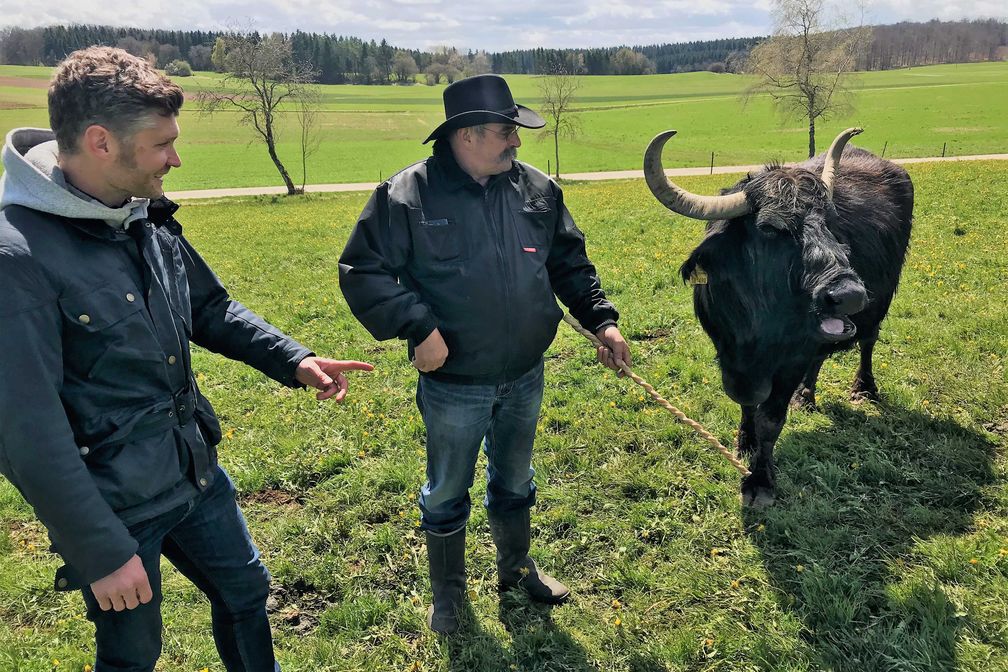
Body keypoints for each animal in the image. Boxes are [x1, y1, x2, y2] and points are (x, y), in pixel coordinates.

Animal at [645, 127, 915, 503]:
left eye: (828, 222)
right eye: (770, 228)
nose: (849, 295)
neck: (756, 329)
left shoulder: (791, 358)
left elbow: (770, 419)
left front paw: (760, 480)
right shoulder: (727, 352)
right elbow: (746, 402)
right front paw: (745, 441)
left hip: (881, 303)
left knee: (868, 341)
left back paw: (863, 388)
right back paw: (807, 396)